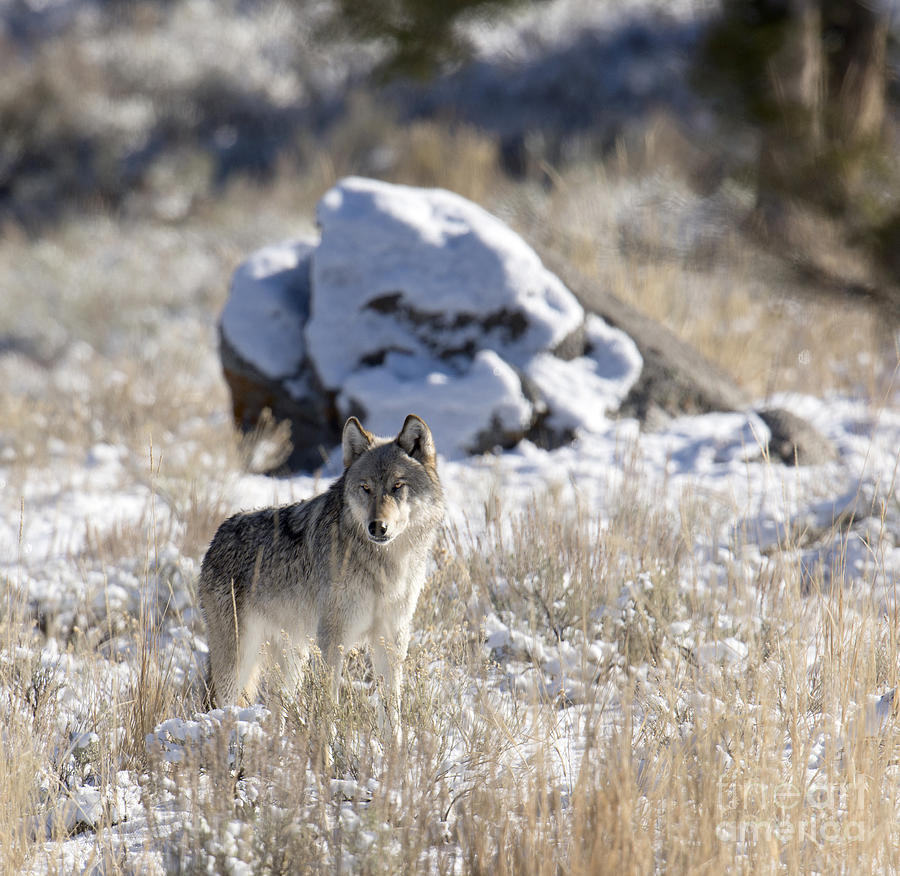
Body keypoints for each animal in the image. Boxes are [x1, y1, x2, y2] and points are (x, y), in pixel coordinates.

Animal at [200, 414, 446, 728]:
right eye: (365, 488)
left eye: (397, 486)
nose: (377, 527)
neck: (384, 566)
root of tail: (217, 535)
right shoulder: (333, 640)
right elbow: (328, 710)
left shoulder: (391, 639)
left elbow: (392, 716)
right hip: (238, 661)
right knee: (221, 708)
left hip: (292, 661)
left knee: (278, 711)